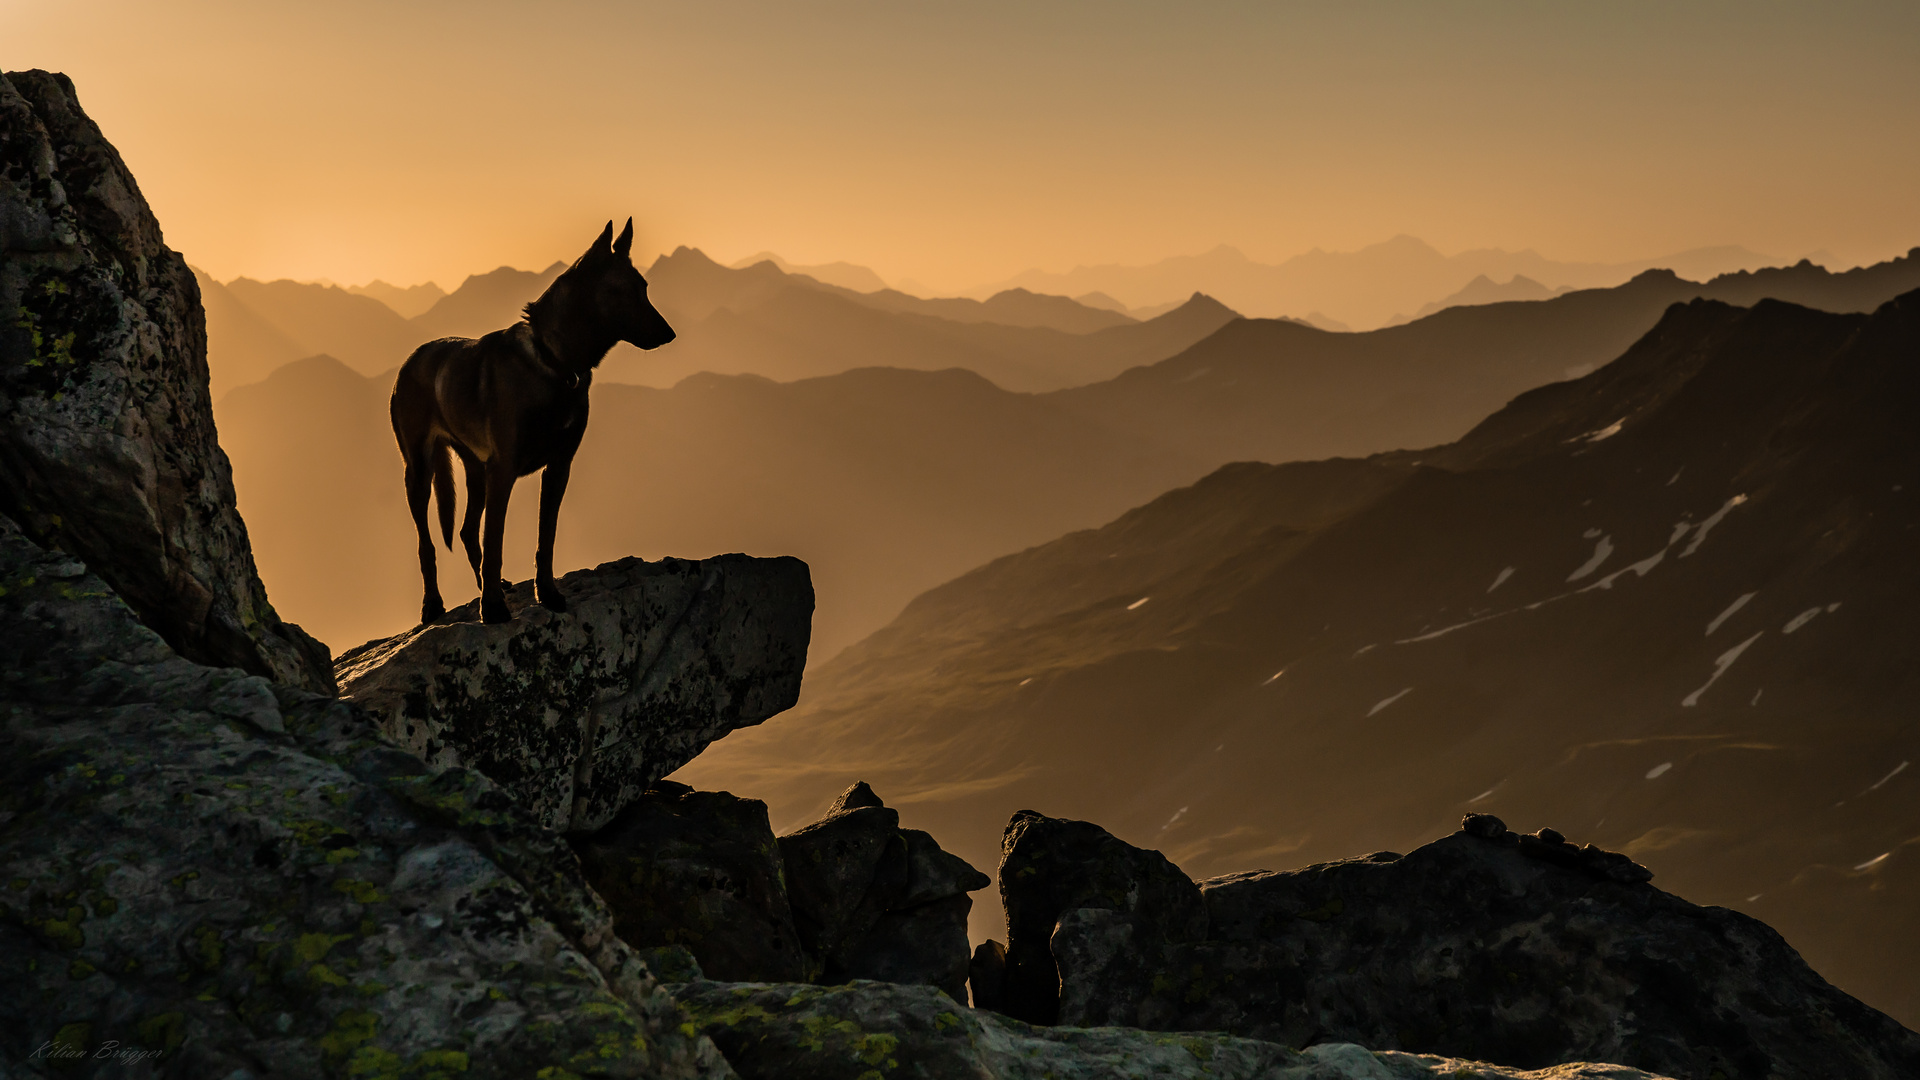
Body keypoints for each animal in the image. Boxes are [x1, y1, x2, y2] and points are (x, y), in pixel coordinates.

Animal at [389, 219, 675, 622]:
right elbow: (495, 541)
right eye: (622, 291)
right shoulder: (504, 469)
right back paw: (433, 604)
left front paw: (547, 593)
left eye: (645, 288)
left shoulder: (558, 468)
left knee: (466, 531)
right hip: (419, 472)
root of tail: (411, 359)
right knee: (427, 544)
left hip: (477, 472)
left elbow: (545, 538)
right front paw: (493, 608)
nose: (670, 334)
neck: (556, 363)